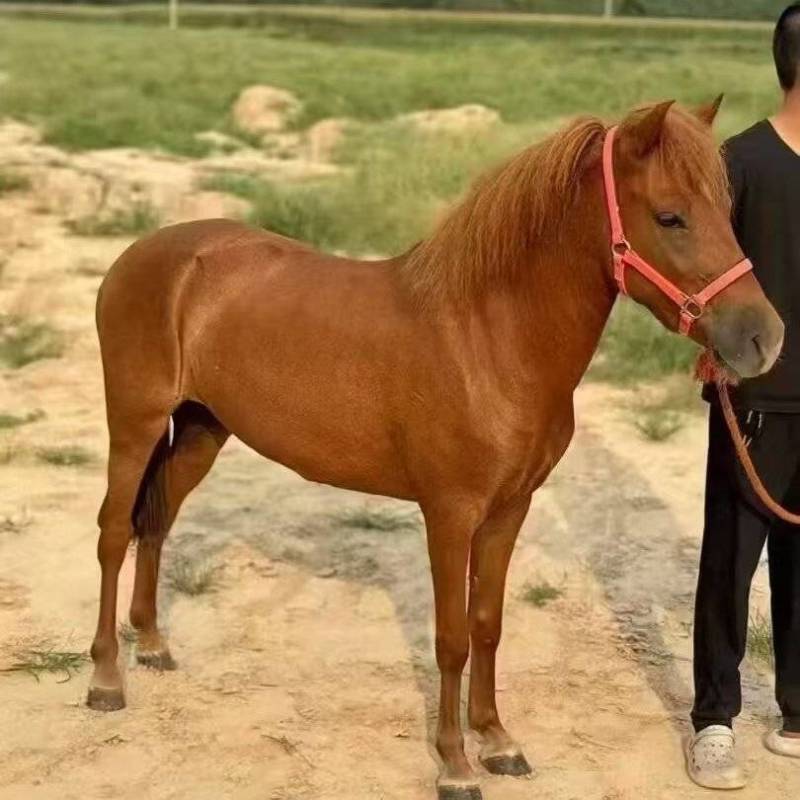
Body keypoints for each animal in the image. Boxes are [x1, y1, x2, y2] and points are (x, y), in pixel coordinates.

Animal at [86, 98, 784, 800]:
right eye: (670, 216)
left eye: (727, 210)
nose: (764, 337)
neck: (489, 340)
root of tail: (143, 253)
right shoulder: (449, 514)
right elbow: (451, 638)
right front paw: (454, 764)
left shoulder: (509, 511)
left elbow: (487, 625)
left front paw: (497, 741)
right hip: (135, 423)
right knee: (115, 532)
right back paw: (107, 680)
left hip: (201, 429)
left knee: (157, 521)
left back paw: (153, 645)